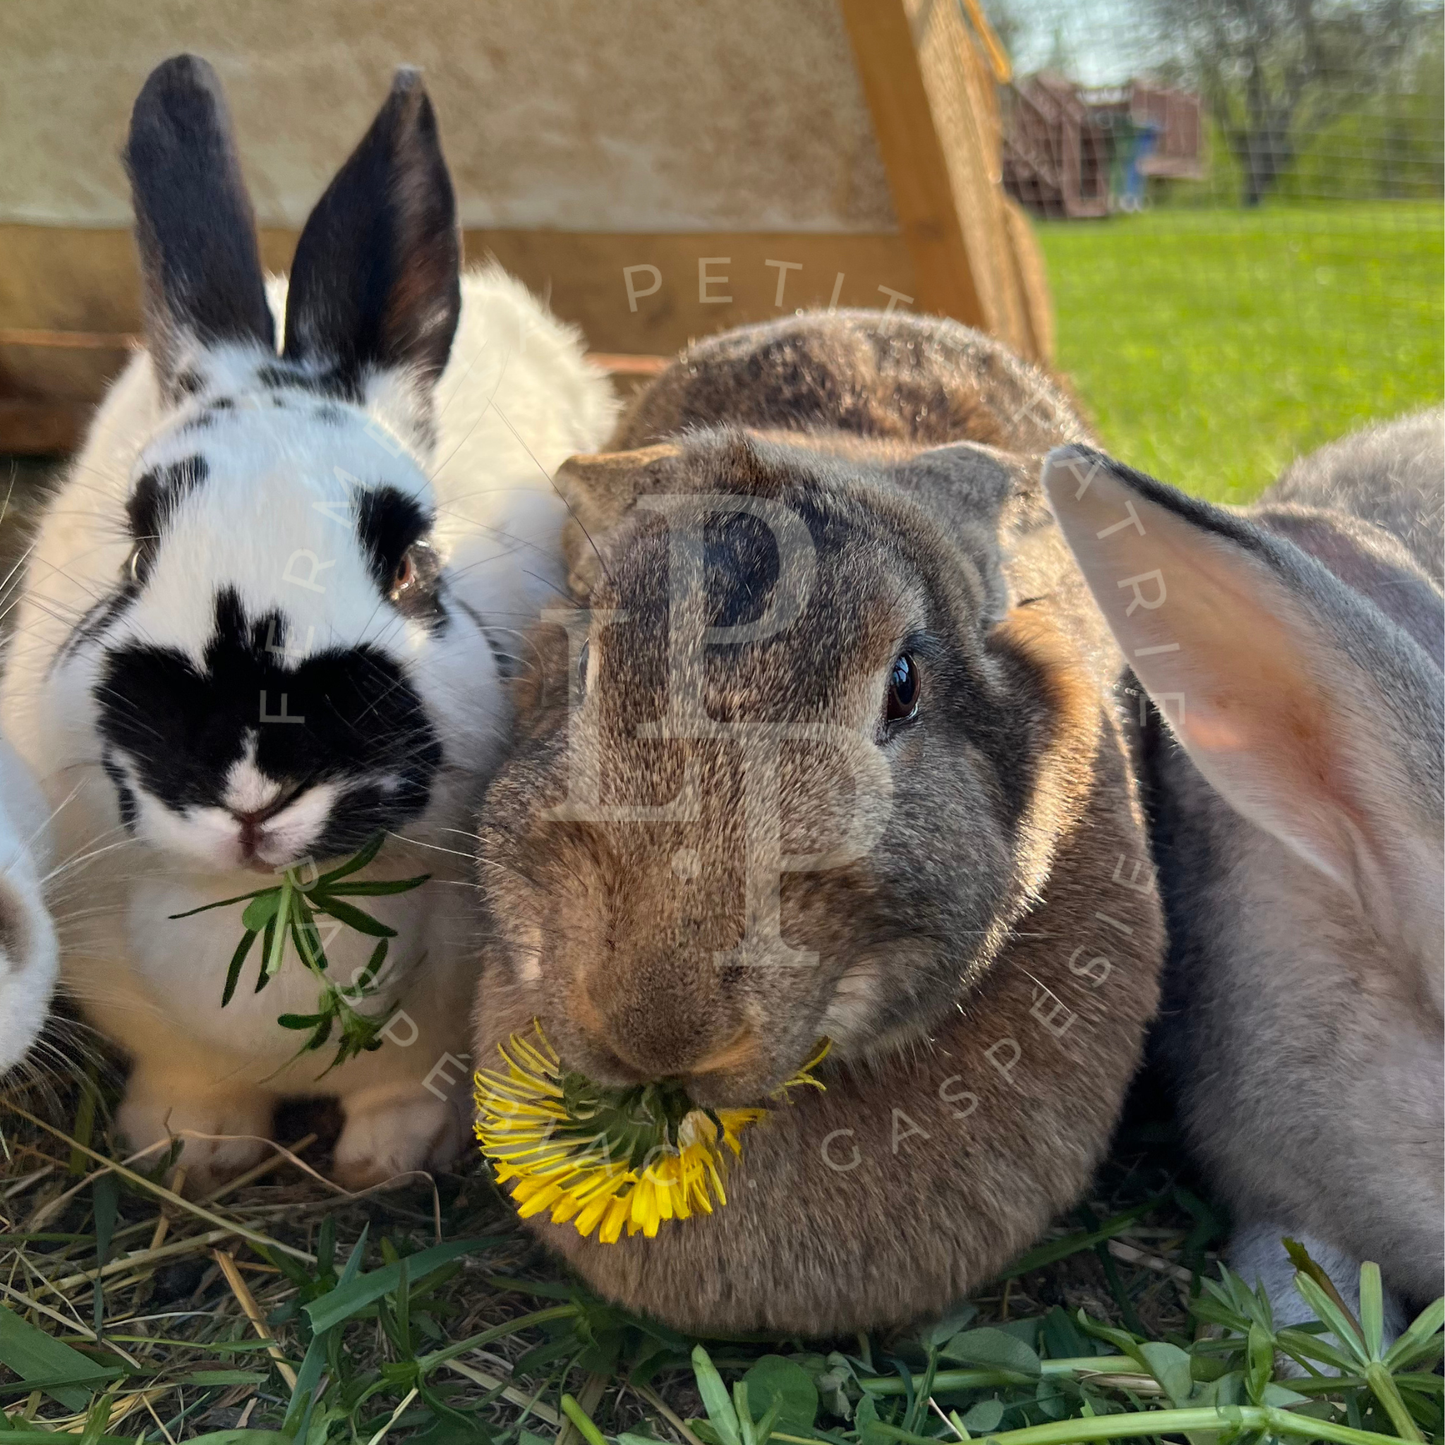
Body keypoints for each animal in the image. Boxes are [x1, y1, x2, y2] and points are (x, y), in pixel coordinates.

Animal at [0, 55, 614, 1192]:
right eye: (137, 551)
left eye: (411, 565)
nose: (252, 784)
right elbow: (193, 1081)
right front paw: (191, 1148)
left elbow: (405, 1087)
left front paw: (391, 1158)